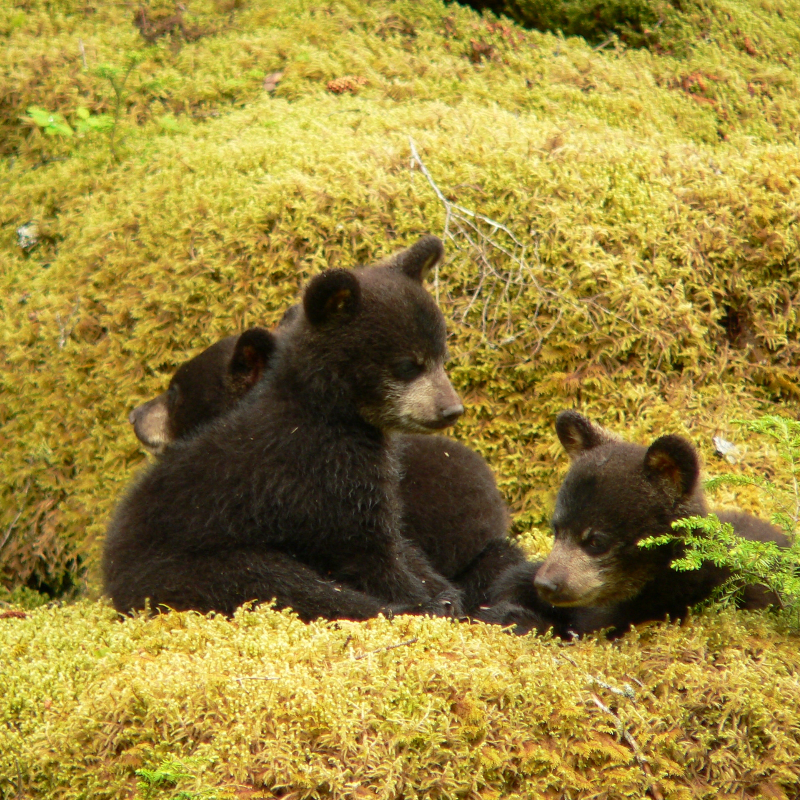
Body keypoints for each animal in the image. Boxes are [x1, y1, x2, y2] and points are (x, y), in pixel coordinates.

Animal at [103, 235, 471, 620]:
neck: (332, 413)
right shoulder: (318, 472)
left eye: (441, 357)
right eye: (408, 364)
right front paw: (422, 601)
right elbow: (364, 546)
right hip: (194, 564)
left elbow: (401, 542)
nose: (451, 409)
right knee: (277, 583)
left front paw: (442, 590)